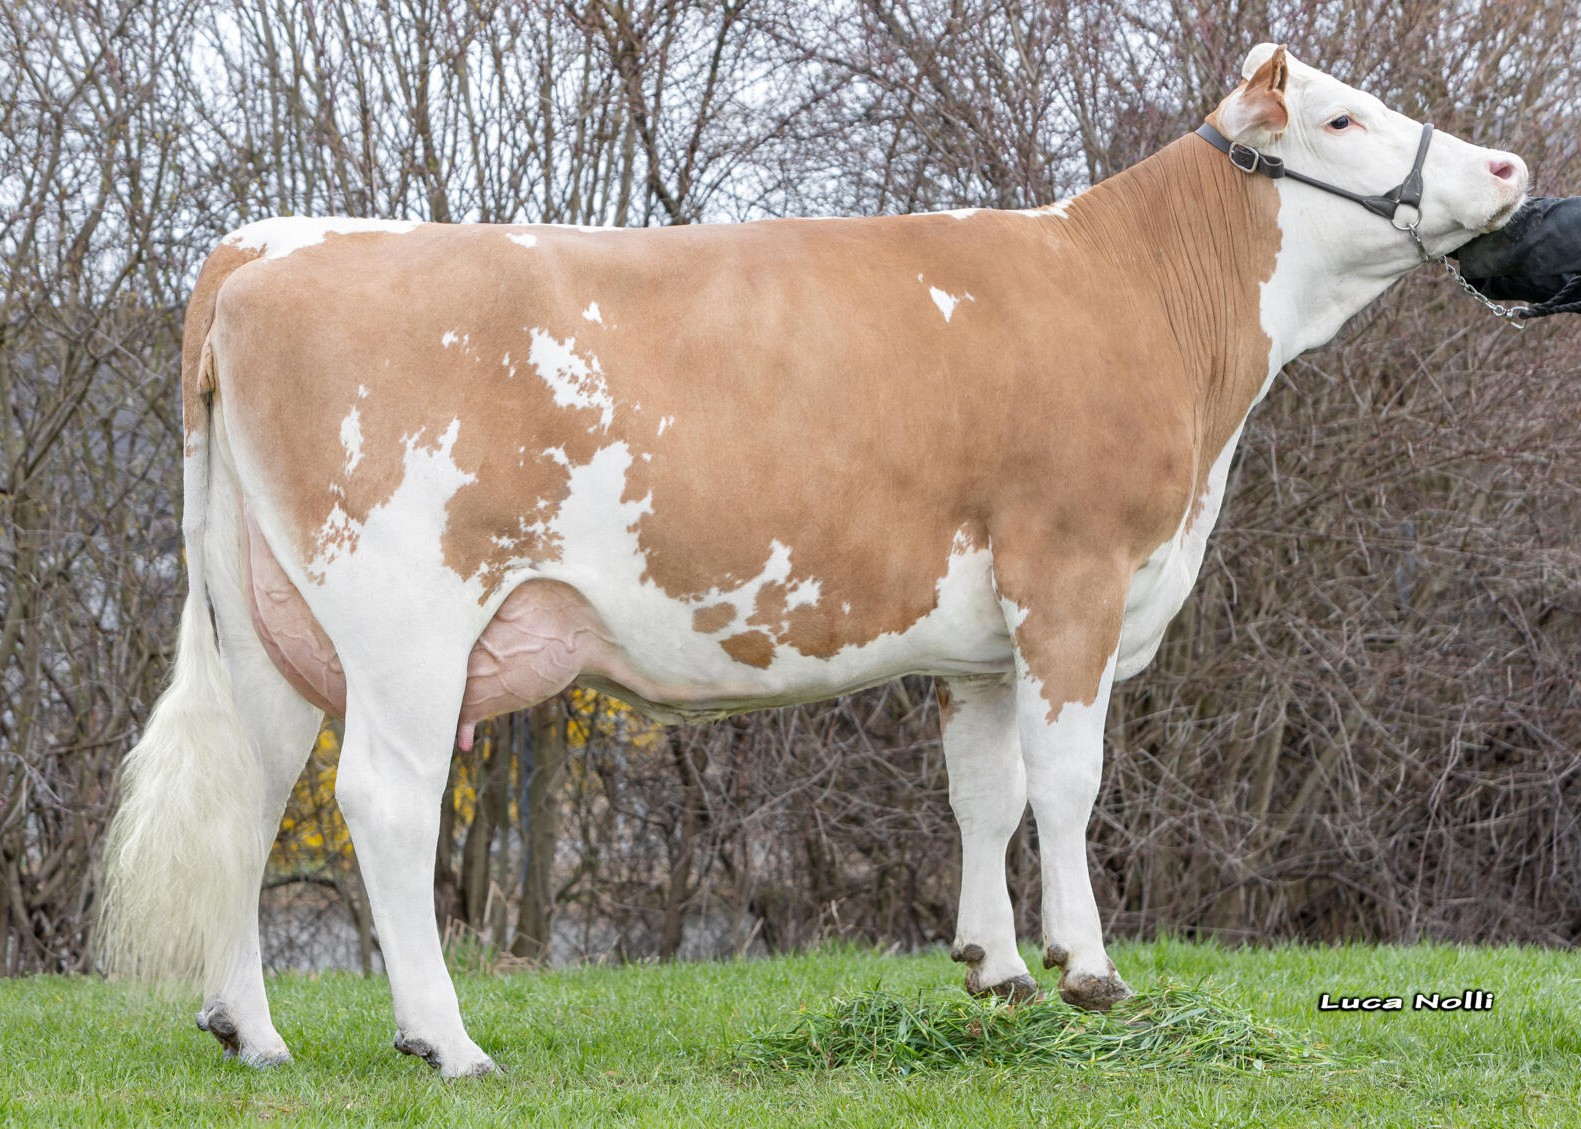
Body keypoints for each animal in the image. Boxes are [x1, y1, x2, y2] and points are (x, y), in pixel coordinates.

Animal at [99, 44, 1528, 1077]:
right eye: (1340, 119)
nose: (1512, 166)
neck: (1137, 299)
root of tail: (266, 248)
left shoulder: (983, 640)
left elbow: (981, 794)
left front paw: (996, 970)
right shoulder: (1072, 578)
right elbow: (1067, 785)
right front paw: (1089, 971)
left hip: (266, 623)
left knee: (251, 791)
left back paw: (253, 1032)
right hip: (404, 617)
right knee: (384, 806)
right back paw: (446, 1040)